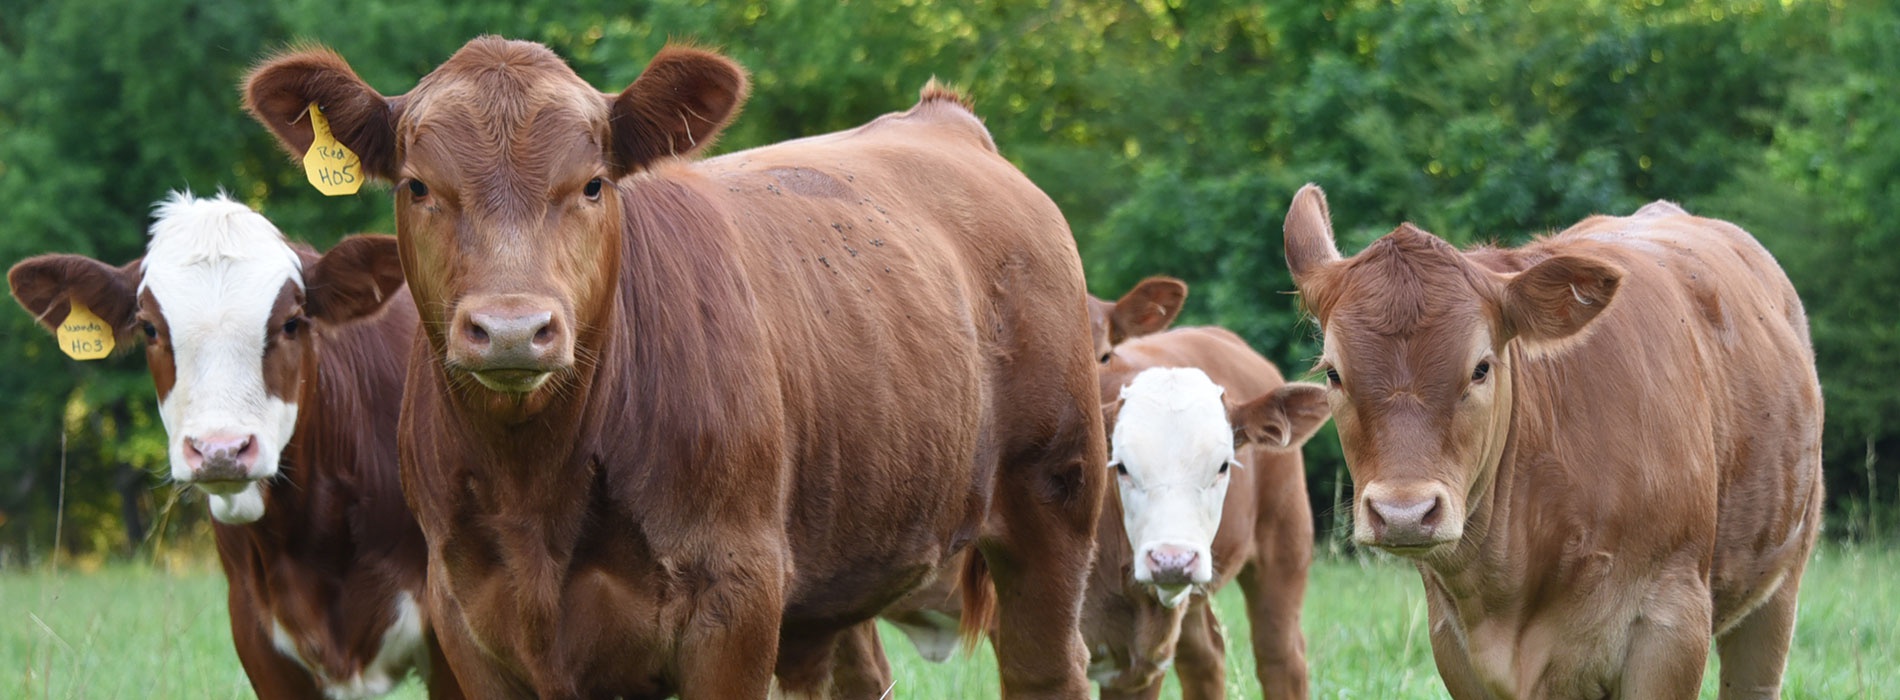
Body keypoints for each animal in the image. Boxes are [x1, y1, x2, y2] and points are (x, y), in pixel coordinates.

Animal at [243, 39, 1109, 700]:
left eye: (592, 184)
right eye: (420, 186)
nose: (514, 330)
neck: (535, 489)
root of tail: (946, 121)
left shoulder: (735, 603)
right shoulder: (464, 615)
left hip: (1054, 500)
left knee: (1048, 668)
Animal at [881, 277, 1330, 700]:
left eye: (1222, 465)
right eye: (1124, 467)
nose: (1171, 559)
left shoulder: (1141, 661)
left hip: (1282, 548)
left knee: (1280, 658)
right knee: (1206, 657)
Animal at [1276, 183, 1824, 696]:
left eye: (1481, 367)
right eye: (1334, 374)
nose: (1404, 513)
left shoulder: (1672, 626)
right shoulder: (1451, 641)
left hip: (1780, 588)